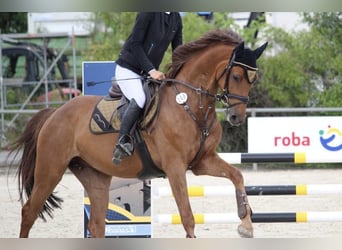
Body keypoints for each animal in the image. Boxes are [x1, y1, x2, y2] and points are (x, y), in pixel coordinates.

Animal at [10, 28, 268, 237]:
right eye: (236, 76)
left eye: (254, 80)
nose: (236, 117)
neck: (189, 105)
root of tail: (54, 112)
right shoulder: (175, 167)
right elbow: (187, 217)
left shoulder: (202, 162)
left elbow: (237, 175)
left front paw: (246, 223)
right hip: (50, 170)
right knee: (28, 212)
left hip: (95, 176)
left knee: (96, 224)